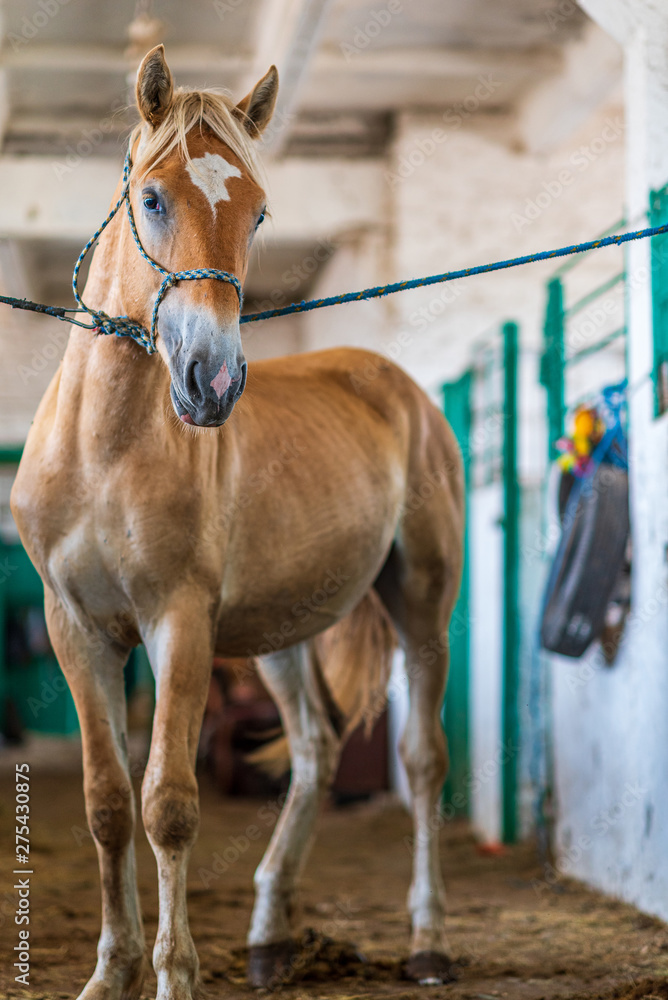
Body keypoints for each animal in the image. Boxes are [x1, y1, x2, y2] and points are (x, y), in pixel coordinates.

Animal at [10, 44, 464, 1000]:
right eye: (152, 197)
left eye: (259, 212)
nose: (212, 380)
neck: (105, 450)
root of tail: (397, 386)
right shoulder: (76, 630)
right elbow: (109, 804)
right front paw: (110, 973)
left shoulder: (179, 623)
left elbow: (168, 805)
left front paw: (174, 974)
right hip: (280, 635)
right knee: (316, 752)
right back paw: (268, 935)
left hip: (422, 605)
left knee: (422, 759)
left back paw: (429, 939)